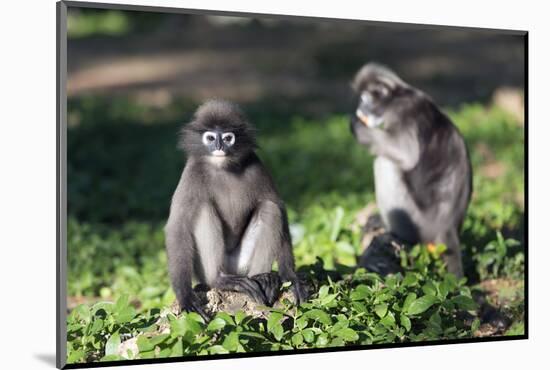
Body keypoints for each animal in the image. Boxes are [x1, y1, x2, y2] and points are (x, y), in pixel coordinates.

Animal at [166, 99, 308, 320]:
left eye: (227, 138)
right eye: (210, 137)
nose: (218, 146)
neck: (223, 166)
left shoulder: (256, 164)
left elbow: (278, 207)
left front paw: (290, 277)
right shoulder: (192, 173)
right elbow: (178, 227)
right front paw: (186, 297)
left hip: (242, 264)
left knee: (269, 208)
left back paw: (264, 278)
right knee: (203, 209)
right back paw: (220, 280)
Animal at [352, 63, 472, 278]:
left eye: (365, 99)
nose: (359, 110)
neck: (401, 94)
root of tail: (448, 229)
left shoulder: (402, 111)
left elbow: (405, 153)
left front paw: (357, 127)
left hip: (419, 223)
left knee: (385, 163)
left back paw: (392, 230)